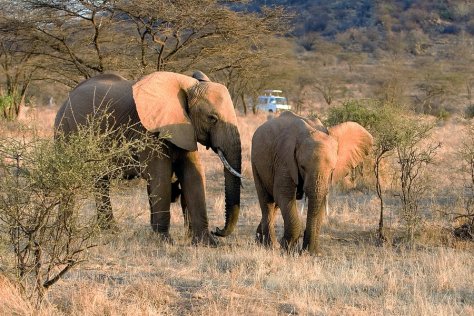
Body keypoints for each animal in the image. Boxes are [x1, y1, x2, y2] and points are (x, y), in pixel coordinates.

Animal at [55, 71, 241, 244]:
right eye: (212, 118)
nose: (218, 230)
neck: (187, 85)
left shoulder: (186, 128)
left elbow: (193, 176)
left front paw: (208, 243)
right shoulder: (149, 131)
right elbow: (160, 176)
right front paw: (164, 241)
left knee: (100, 182)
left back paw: (109, 230)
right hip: (64, 130)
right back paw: (65, 230)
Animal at [252, 111, 374, 254]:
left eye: (332, 169)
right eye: (302, 167)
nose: (304, 250)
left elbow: (319, 199)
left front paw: (311, 253)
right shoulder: (284, 159)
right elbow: (284, 194)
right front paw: (287, 249)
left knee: (275, 204)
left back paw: (259, 240)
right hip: (255, 163)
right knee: (267, 201)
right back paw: (269, 246)